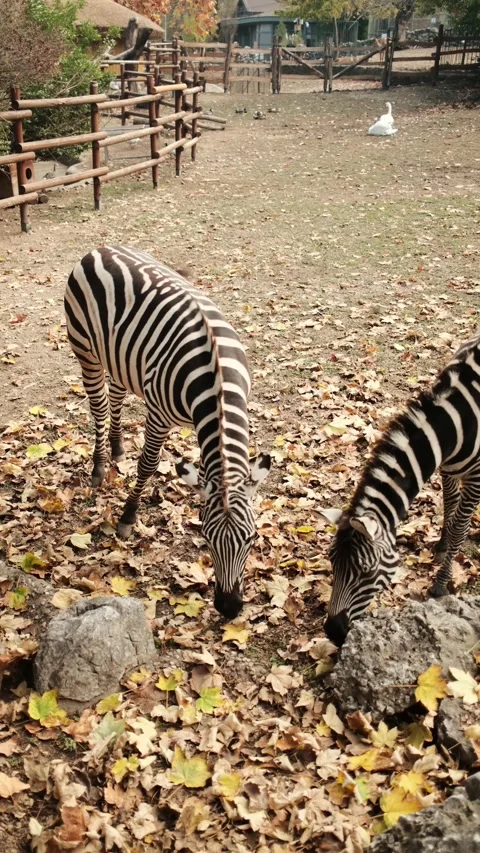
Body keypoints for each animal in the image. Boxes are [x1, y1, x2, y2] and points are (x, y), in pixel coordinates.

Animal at [64, 246, 271, 620]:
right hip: (86, 351)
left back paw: (117, 448)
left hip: (121, 358)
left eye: (251, 538)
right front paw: (128, 517)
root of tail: (102, 248)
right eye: (206, 538)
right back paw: (100, 466)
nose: (229, 608)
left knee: (116, 395)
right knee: (98, 407)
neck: (217, 383)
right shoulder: (159, 416)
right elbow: (148, 464)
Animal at [320, 331, 480, 646]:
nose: (333, 633)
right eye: (331, 563)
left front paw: (440, 583)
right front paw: (442, 545)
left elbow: (460, 526)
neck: (456, 423)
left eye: (365, 572)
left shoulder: (476, 478)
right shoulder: (447, 466)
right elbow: (450, 502)